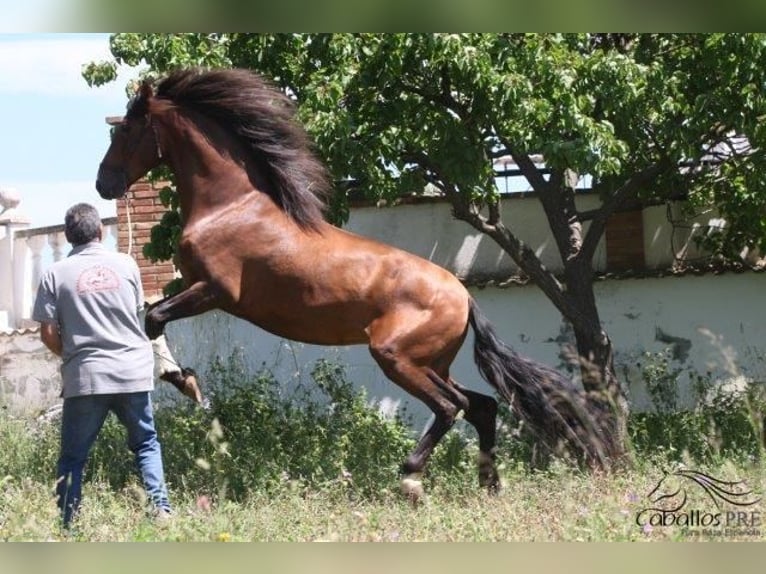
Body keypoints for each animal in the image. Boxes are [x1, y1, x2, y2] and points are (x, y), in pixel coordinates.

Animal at [97, 66, 612, 500]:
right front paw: (182, 378)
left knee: (452, 407)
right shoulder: (194, 285)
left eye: (126, 129)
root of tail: (464, 295)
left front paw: (183, 381)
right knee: (481, 405)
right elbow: (151, 312)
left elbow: (154, 317)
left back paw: (410, 478)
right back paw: (488, 485)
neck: (230, 206)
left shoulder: (216, 291)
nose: (104, 183)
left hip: (397, 357)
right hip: (432, 361)